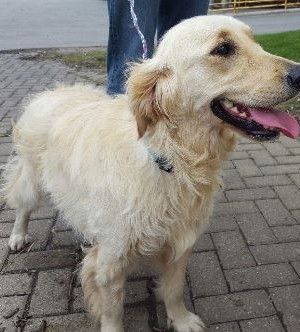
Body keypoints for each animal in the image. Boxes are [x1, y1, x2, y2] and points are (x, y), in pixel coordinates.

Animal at [2, 15, 300, 332]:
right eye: (223, 49)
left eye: (255, 41)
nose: (299, 73)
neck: (173, 159)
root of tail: (52, 91)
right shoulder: (111, 260)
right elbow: (113, 310)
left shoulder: (180, 243)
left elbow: (173, 290)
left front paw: (181, 320)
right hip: (32, 180)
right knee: (22, 206)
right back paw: (18, 236)